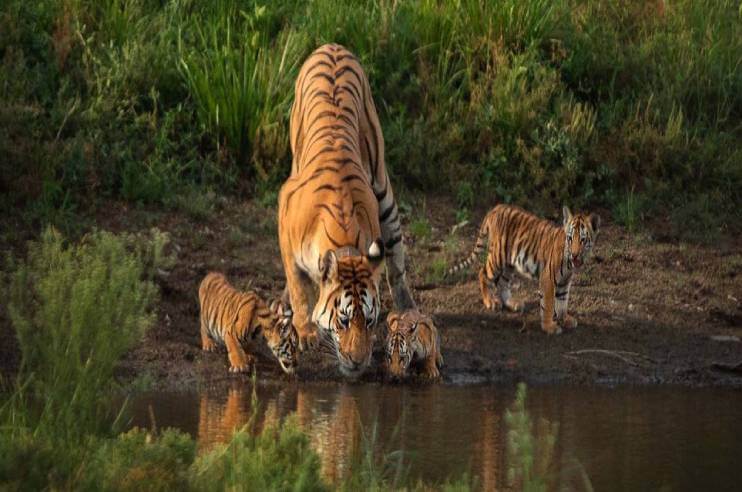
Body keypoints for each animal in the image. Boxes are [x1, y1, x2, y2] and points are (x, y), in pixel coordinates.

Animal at [280, 45, 418, 376]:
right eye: (342, 320)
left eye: (369, 320)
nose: (358, 362)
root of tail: (331, 46)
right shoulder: (285, 225)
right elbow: (300, 289)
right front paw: (306, 333)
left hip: (383, 189)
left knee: (396, 263)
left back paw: (407, 308)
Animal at [448, 204, 600, 334]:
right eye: (570, 238)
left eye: (582, 240)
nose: (574, 255)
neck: (569, 263)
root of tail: (496, 208)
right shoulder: (548, 279)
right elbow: (548, 304)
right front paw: (549, 327)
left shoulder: (564, 282)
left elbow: (562, 302)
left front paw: (565, 320)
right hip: (497, 257)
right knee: (482, 273)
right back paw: (490, 301)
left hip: (509, 264)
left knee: (502, 283)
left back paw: (512, 303)